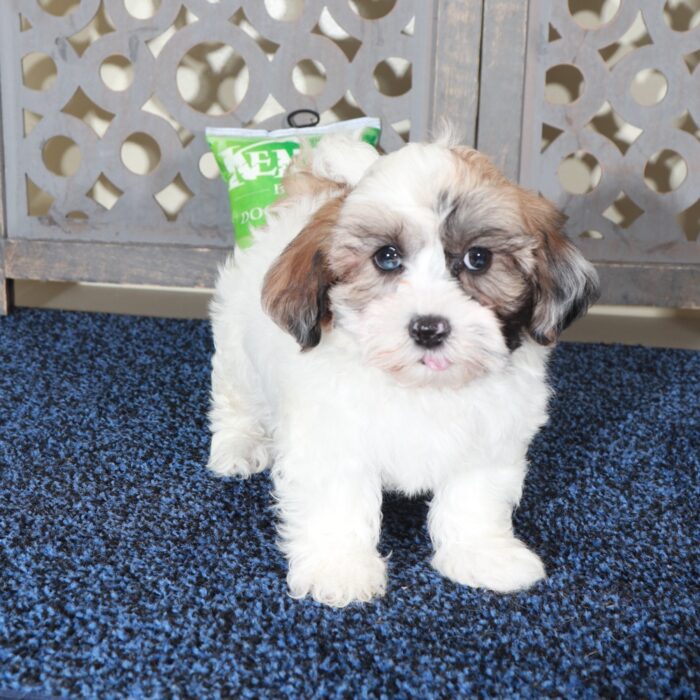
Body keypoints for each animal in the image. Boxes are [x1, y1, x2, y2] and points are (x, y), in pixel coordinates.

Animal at [205, 134, 600, 604]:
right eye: (387, 257)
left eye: (479, 258)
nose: (428, 328)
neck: (420, 386)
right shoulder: (332, 437)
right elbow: (338, 500)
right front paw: (339, 567)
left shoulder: (491, 436)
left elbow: (474, 496)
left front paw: (483, 555)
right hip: (235, 346)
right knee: (235, 398)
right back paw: (238, 445)